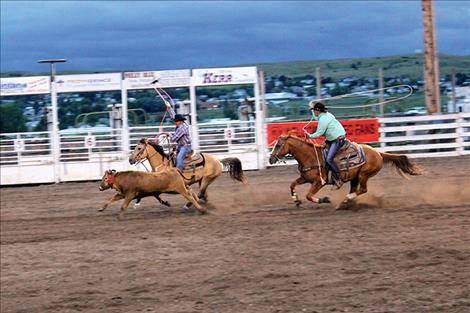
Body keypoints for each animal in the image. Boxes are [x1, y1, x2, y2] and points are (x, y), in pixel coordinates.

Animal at [268, 133, 422, 208]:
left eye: (279, 145)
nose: (270, 159)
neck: (310, 156)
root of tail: (378, 153)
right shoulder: (305, 178)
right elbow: (292, 185)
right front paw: (296, 201)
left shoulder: (319, 182)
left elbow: (308, 195)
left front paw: (325, 199)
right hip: (355, 177)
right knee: (355, 189)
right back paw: (347, 202)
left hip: (364, 175)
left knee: (362, 189)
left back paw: (345, 201)